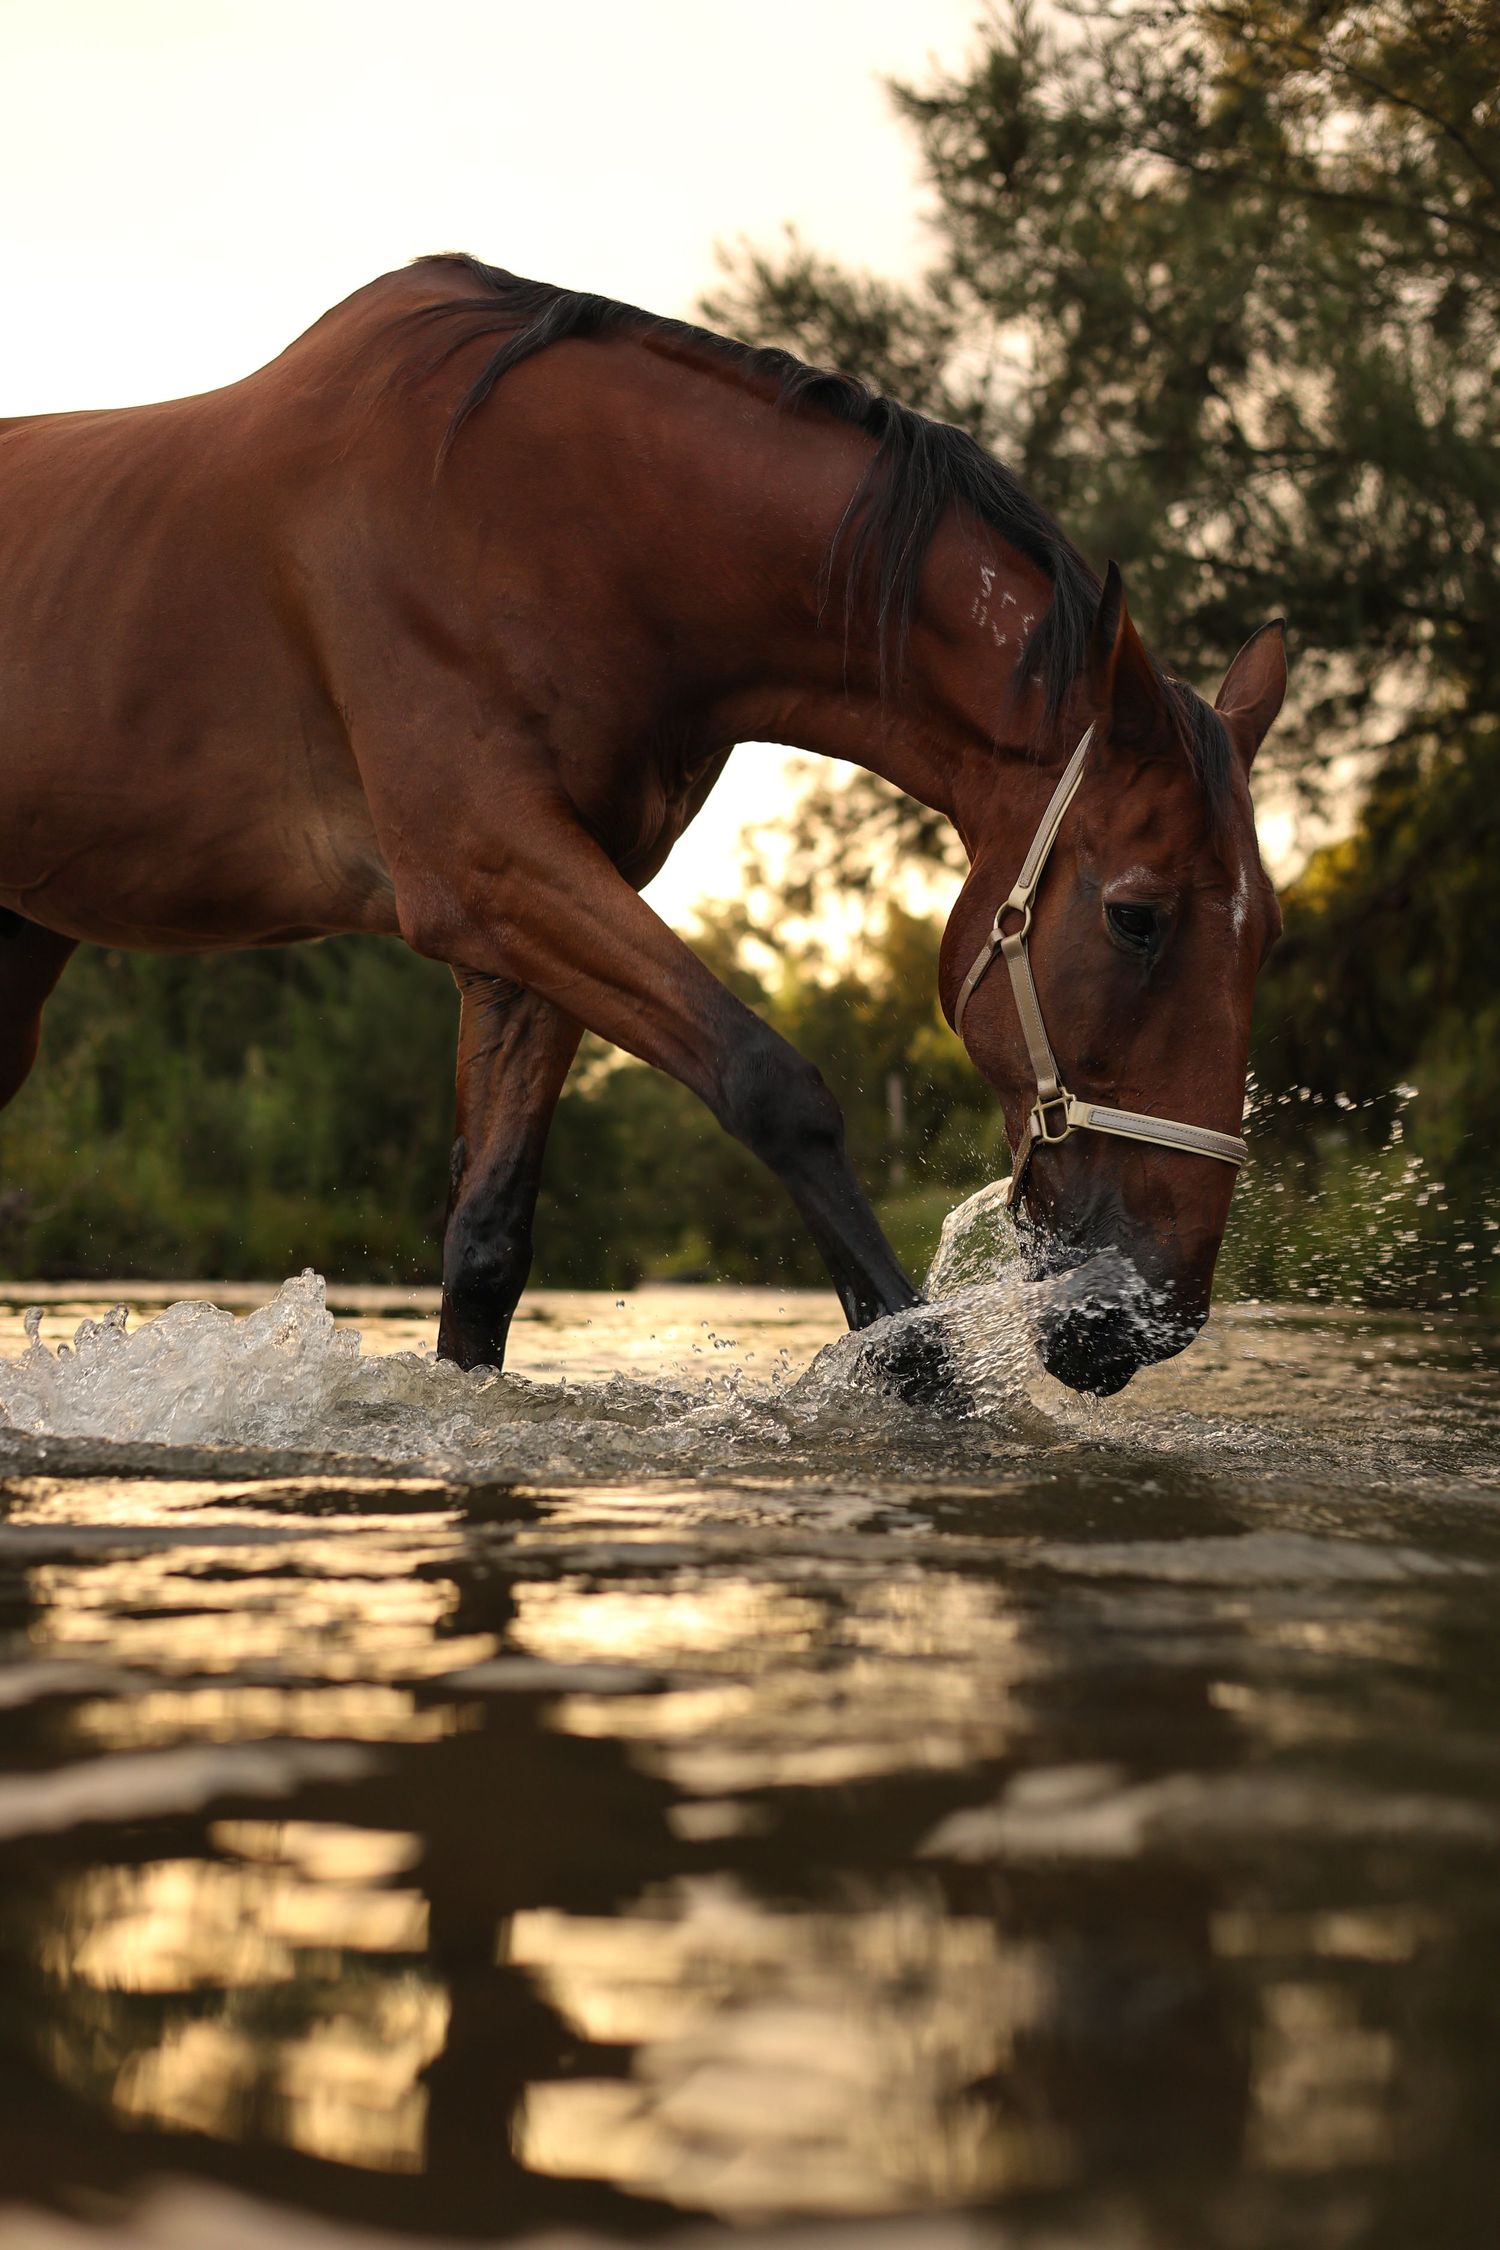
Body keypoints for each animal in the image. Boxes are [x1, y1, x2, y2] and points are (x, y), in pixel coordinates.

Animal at [0, 254, 1285, 1397]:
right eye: (1135, 916)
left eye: (1269, 936)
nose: (1152, 1316)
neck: (547, 518)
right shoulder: (486, 869)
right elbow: (772, 1084)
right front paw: (922, 1382)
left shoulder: (529, 929)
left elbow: (486, 1242)